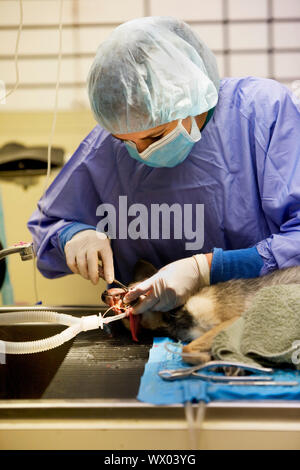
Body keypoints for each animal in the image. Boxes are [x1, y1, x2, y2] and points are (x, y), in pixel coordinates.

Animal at [102, 260, 300, 364]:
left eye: (129, 289)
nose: (104, 294)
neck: (173, 316)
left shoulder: (234, 320)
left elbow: (187, 348)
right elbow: (189, 348)